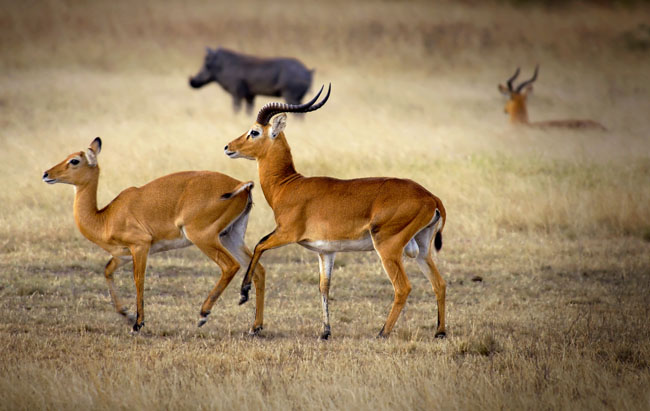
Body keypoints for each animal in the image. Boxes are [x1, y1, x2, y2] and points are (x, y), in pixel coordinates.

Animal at [42, 137, 266, 333]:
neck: (105, 217)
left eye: (74, 160)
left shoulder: (141, 246)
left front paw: (137, 324)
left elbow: (138, 279)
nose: (46, 174)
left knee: (230, 266)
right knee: (258, 270)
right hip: (231, 236)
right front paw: (127, 315)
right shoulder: (122, 255)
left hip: (204, 237)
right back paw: (254, 327)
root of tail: (242, 184)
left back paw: (204, 314)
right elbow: (107, 271)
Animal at [224, 85, 447, 339]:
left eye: (254, 131)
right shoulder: (326, 251)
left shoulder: (286, 233)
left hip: (387, 246)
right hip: (422, 248)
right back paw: (440, 331)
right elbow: (324, 286)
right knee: (439, 283)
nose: (228, 147)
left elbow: (258, 245)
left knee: (403, 287)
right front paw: (325, 331)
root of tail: (430, 197)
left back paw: (382, 332)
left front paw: (244, 296)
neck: (287, 186)